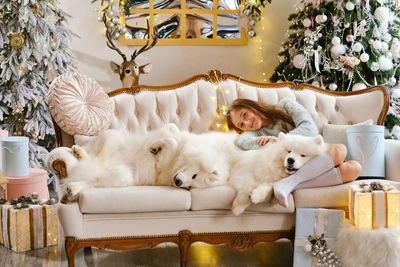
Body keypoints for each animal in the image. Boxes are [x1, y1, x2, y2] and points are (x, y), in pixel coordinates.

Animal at [46, 71, 396, 267]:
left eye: (194, 180)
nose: (177, 183)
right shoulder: (177, 144)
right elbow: (168, 135)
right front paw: (158, 145)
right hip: (111, 141)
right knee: (89, 155)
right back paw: (76, 153)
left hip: (119, 177)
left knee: (92, 181)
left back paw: (75, 180)